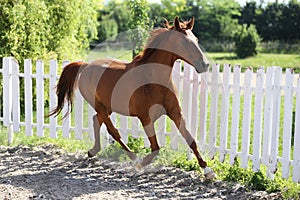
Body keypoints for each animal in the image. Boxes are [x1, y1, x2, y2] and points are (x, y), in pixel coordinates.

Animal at [49, 17, 216, 179]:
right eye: (183, 41)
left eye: (196, 39)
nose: (205, 65)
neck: (153, 78)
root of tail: (85, 66)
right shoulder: (145, 117)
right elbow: (155, 148)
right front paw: (140, 164)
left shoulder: (175, 113)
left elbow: (191, 140)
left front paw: (207, 171)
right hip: (100, 106)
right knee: (113, 131)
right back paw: (133, 158)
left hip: (107, 107)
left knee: (96, 120)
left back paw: (93, 151)